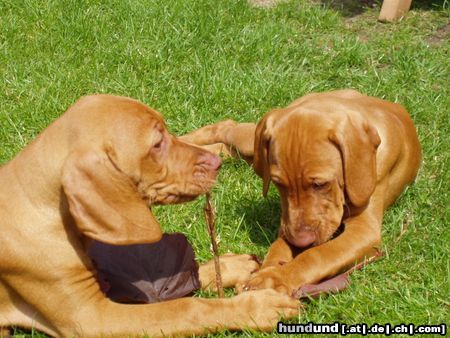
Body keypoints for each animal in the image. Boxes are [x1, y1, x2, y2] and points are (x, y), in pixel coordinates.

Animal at [0, 95, 298, 338]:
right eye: (156, 145)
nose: (217, 164)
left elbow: (183, 274)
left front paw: (229, 268)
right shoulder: (90, 319)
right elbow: (186, 308)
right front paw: (257, 308)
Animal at [182, 90, 422, 296]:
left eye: (320, 184)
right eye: (278, 183)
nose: (301, 241)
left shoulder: (365, 230)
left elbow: (318, 254)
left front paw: (273, 278)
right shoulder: (288, 220)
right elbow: (280, 247)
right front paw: (268, 274)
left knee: (227, 147)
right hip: (253, 142)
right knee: (226, 127)